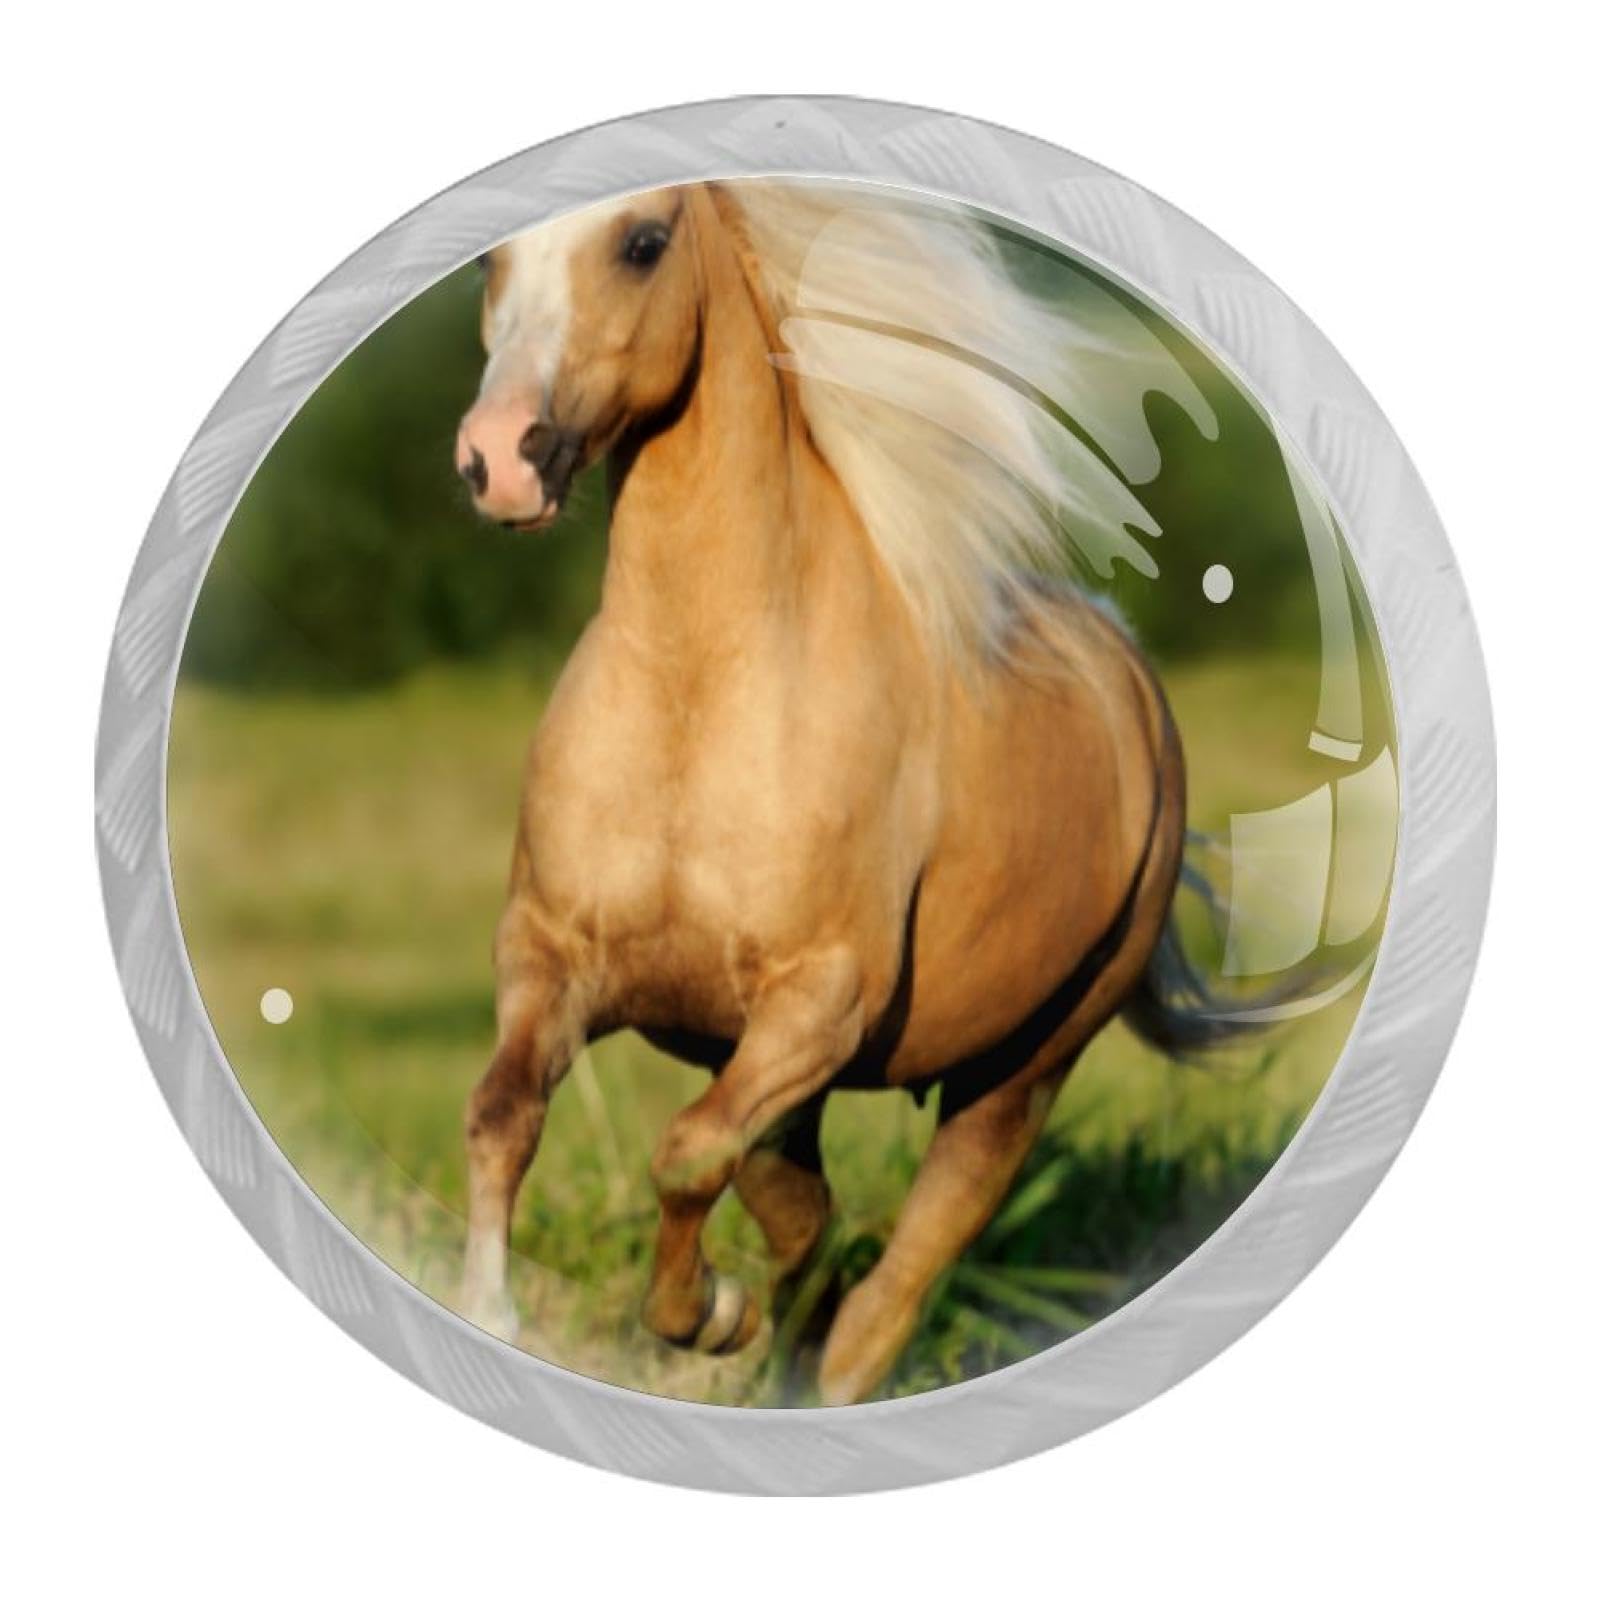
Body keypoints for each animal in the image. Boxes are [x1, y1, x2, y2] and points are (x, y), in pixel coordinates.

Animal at [452, 180, 1234, 1405]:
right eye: (489, 260)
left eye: (642, 242)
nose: (500, 458)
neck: (697, 694)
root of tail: (1128, 674)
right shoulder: (549, 959)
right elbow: (502, 1114)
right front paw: (491, 1311)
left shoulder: (816, 1005)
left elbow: (686, 1152)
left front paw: (706, 1313)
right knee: (806, 1218)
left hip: (1019, 1072)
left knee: (884, 1294)